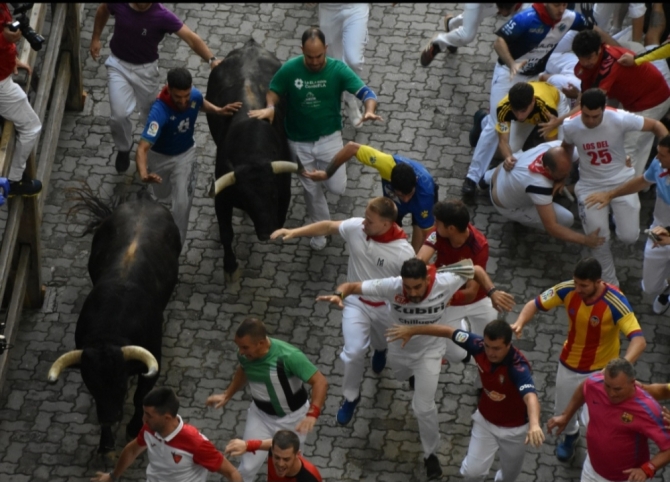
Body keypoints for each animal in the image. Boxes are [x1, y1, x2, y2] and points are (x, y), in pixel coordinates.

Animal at [48, 193, 181, 456]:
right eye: (92, 385)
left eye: (119, 382)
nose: (110, 417)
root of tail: (143, 202)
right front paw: (105, 443)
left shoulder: (153, 364)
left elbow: (141, 397)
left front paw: (134, 427)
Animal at [206, 40, 298, 286]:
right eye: (247, 199)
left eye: (273, 195)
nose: (266, 234)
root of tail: (250, 45)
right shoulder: (222, 198)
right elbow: (226, 232)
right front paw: (230, 268)